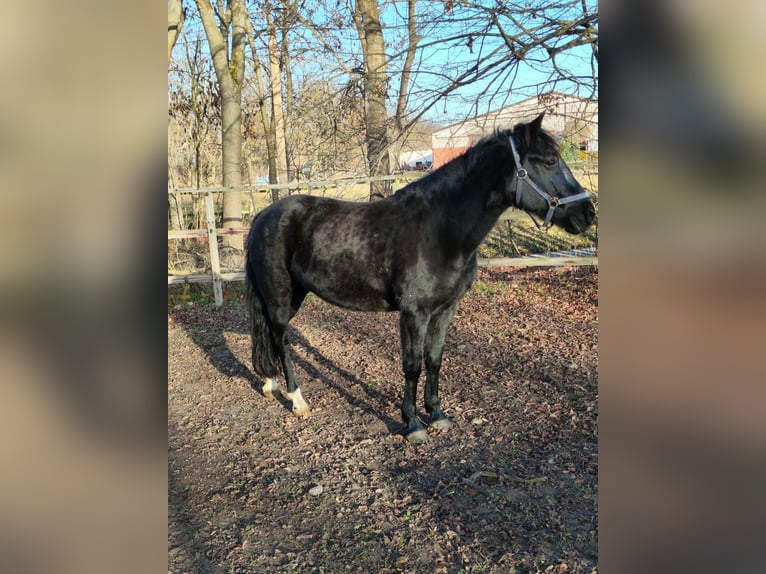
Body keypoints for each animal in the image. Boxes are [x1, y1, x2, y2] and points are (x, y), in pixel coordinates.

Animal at [245, 112, 595, 443]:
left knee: (270, 337)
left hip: (294, 295)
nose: (588, 214)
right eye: (549, 161)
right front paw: (412, 422)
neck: (440, 230)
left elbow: (434, 359)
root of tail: (264, 216)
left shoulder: (445, 310)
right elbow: (412, 364)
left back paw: (270, 383)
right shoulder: (414, 313)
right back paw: (297, 400)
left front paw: (437, 414)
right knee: (282, 340)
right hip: (280, 297)